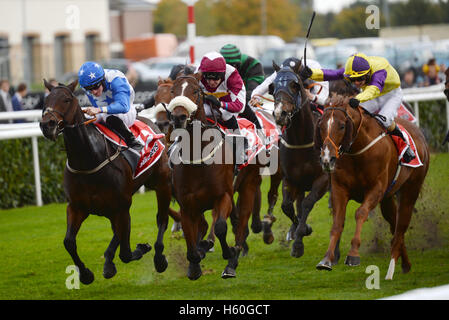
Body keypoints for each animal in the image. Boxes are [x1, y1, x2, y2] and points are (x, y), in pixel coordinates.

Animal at [39, 80, 180, 284]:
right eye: (46, 100)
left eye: (66, 99)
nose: (46, 125)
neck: (89, 160)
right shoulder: (77, 207)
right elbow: (69, 242)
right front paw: (86, 274)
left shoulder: (120, 207)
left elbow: (126, 253)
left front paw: (143, 248)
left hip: (162, 184)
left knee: (161, 219)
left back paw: (159, 258)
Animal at [270, 62, 328, 258]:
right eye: (272, 87)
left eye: (294, 85)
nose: (280, 113)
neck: (301, 141)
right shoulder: (291, 179)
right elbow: (287, 206)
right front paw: (297, 233)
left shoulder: (323, 179)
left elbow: (308, 203)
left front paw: (300, 237)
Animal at [314, 100, 428, 280]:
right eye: (321, 126)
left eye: (341, 126)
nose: (326, 159)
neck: (358, 152)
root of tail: (419, 133)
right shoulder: (340, 189)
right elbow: (337, 223)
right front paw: (326, 259)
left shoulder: (376, 189)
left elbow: (360, 213)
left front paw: (353, 254)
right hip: (388, 198)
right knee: (394, 226)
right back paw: (405, 264)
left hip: (411, 190)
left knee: (400, 228)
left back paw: (390, 271)